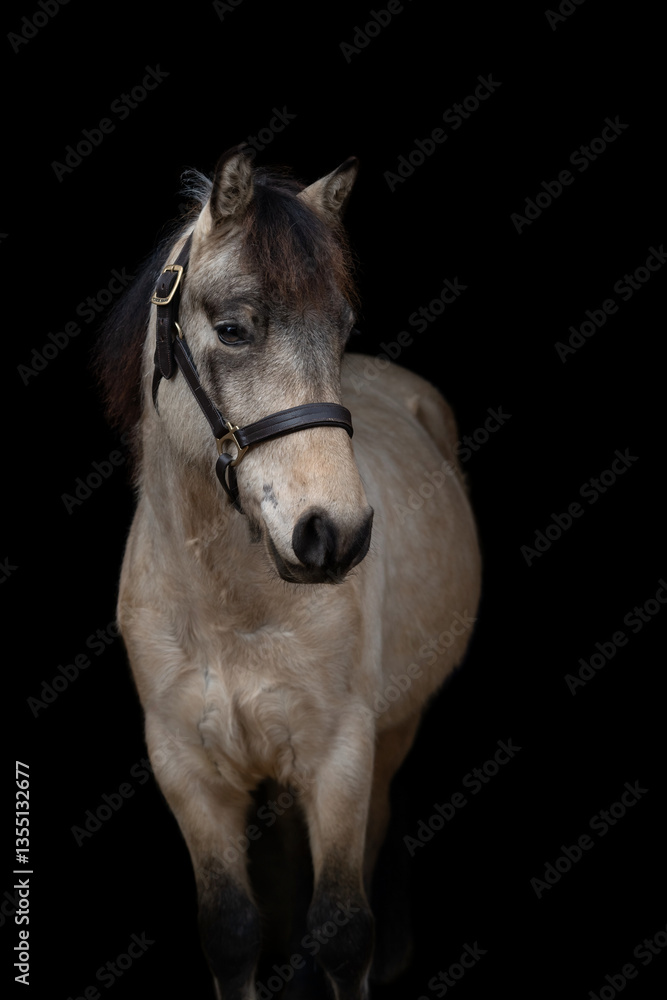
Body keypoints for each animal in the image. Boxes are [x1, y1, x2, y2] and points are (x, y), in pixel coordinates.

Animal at [95, 144, 481, 1000]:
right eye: (233, 328)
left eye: (340, 329)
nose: (333, 534)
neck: (226, 606)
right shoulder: (186, 771)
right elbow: (232, 930)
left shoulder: (339, 757)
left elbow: (340, 928)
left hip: (390, 736)